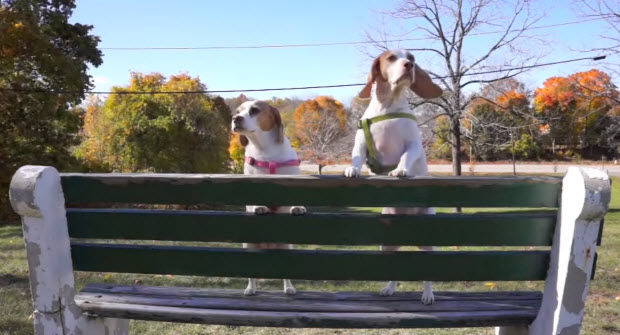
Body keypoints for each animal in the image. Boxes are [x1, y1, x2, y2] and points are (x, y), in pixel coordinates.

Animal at [230, 100, 306, 296]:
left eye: (255, 110)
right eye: (237, 111)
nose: (235, 118)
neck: (263, 148)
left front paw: (297, 207)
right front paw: (259, 207)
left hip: (286, 249)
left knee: (286, 276)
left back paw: (289, 288)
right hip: (249, 248)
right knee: (252, 276)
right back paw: (250, 289)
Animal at [344, 49, 440, 304]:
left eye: (412, 57)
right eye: (391, 58)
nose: (409, 65)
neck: (388, 106)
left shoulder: (413, 144)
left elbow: (406, 156)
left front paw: (400, 170)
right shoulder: (361, 145)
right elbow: (356, 158)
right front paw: (352, 170)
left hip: (428, 245)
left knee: (428, 274)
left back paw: (428, 295)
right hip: (385, 244)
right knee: (392, 269)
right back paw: (389, 288)